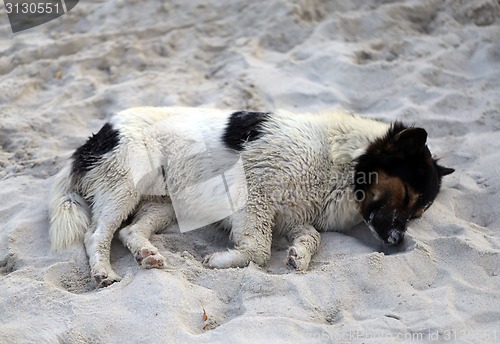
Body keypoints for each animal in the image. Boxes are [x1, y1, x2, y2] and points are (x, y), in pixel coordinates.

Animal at [48, 107, 456, 288]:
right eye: (406, 195)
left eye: (419, 212)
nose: (398, 242)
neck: (339, 160)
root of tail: (96, 137)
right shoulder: (254, 190)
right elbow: (258, 249)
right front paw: (223, 260)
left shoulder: (293, 215)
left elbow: (312, 238)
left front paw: (298, 256)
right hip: (125, 186)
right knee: (97, 235)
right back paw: (104, 272)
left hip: (165, 204)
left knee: (130, 231)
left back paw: (147, 254)